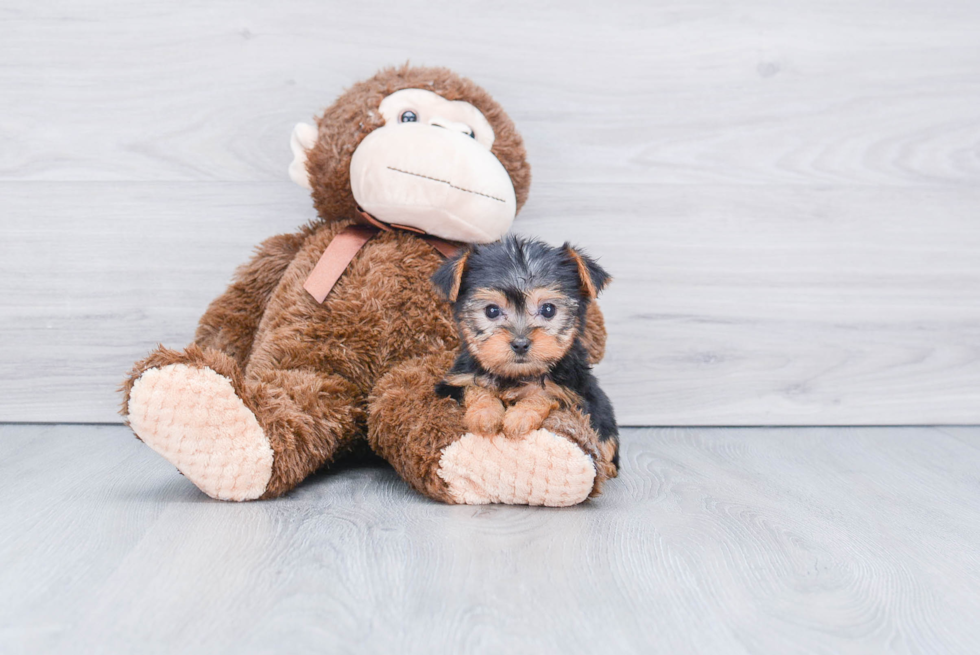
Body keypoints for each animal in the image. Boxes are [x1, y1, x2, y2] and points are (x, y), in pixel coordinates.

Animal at [430, 236, 616, 472]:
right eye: (492, 311)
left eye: (548, 310)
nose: (520, 344)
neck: (516, 376)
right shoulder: (453, 383)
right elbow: (474, 387)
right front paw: (485, 414)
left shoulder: (576, 397)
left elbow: (546, 394)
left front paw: (520, 416)